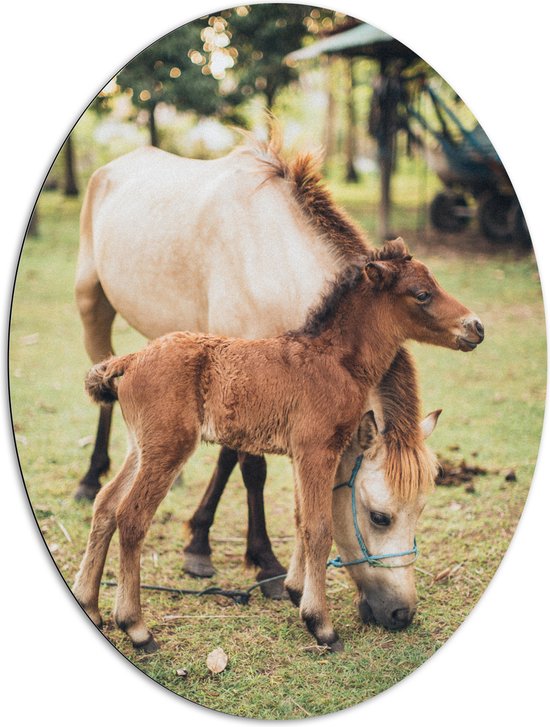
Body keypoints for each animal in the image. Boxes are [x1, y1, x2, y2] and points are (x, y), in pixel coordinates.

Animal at [74, 240, 488, 656]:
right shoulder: (317, 449)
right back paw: (136, 627)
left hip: (140, 447)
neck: (334, 360)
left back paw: (90, 605)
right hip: (167, 448)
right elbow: (318, 527)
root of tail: (131, 359)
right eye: (422, 294)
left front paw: (296, 592)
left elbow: (301, 518)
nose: (476, 326)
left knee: (106, 505)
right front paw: (321, 625)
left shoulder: (303, 454)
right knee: (131, 517)